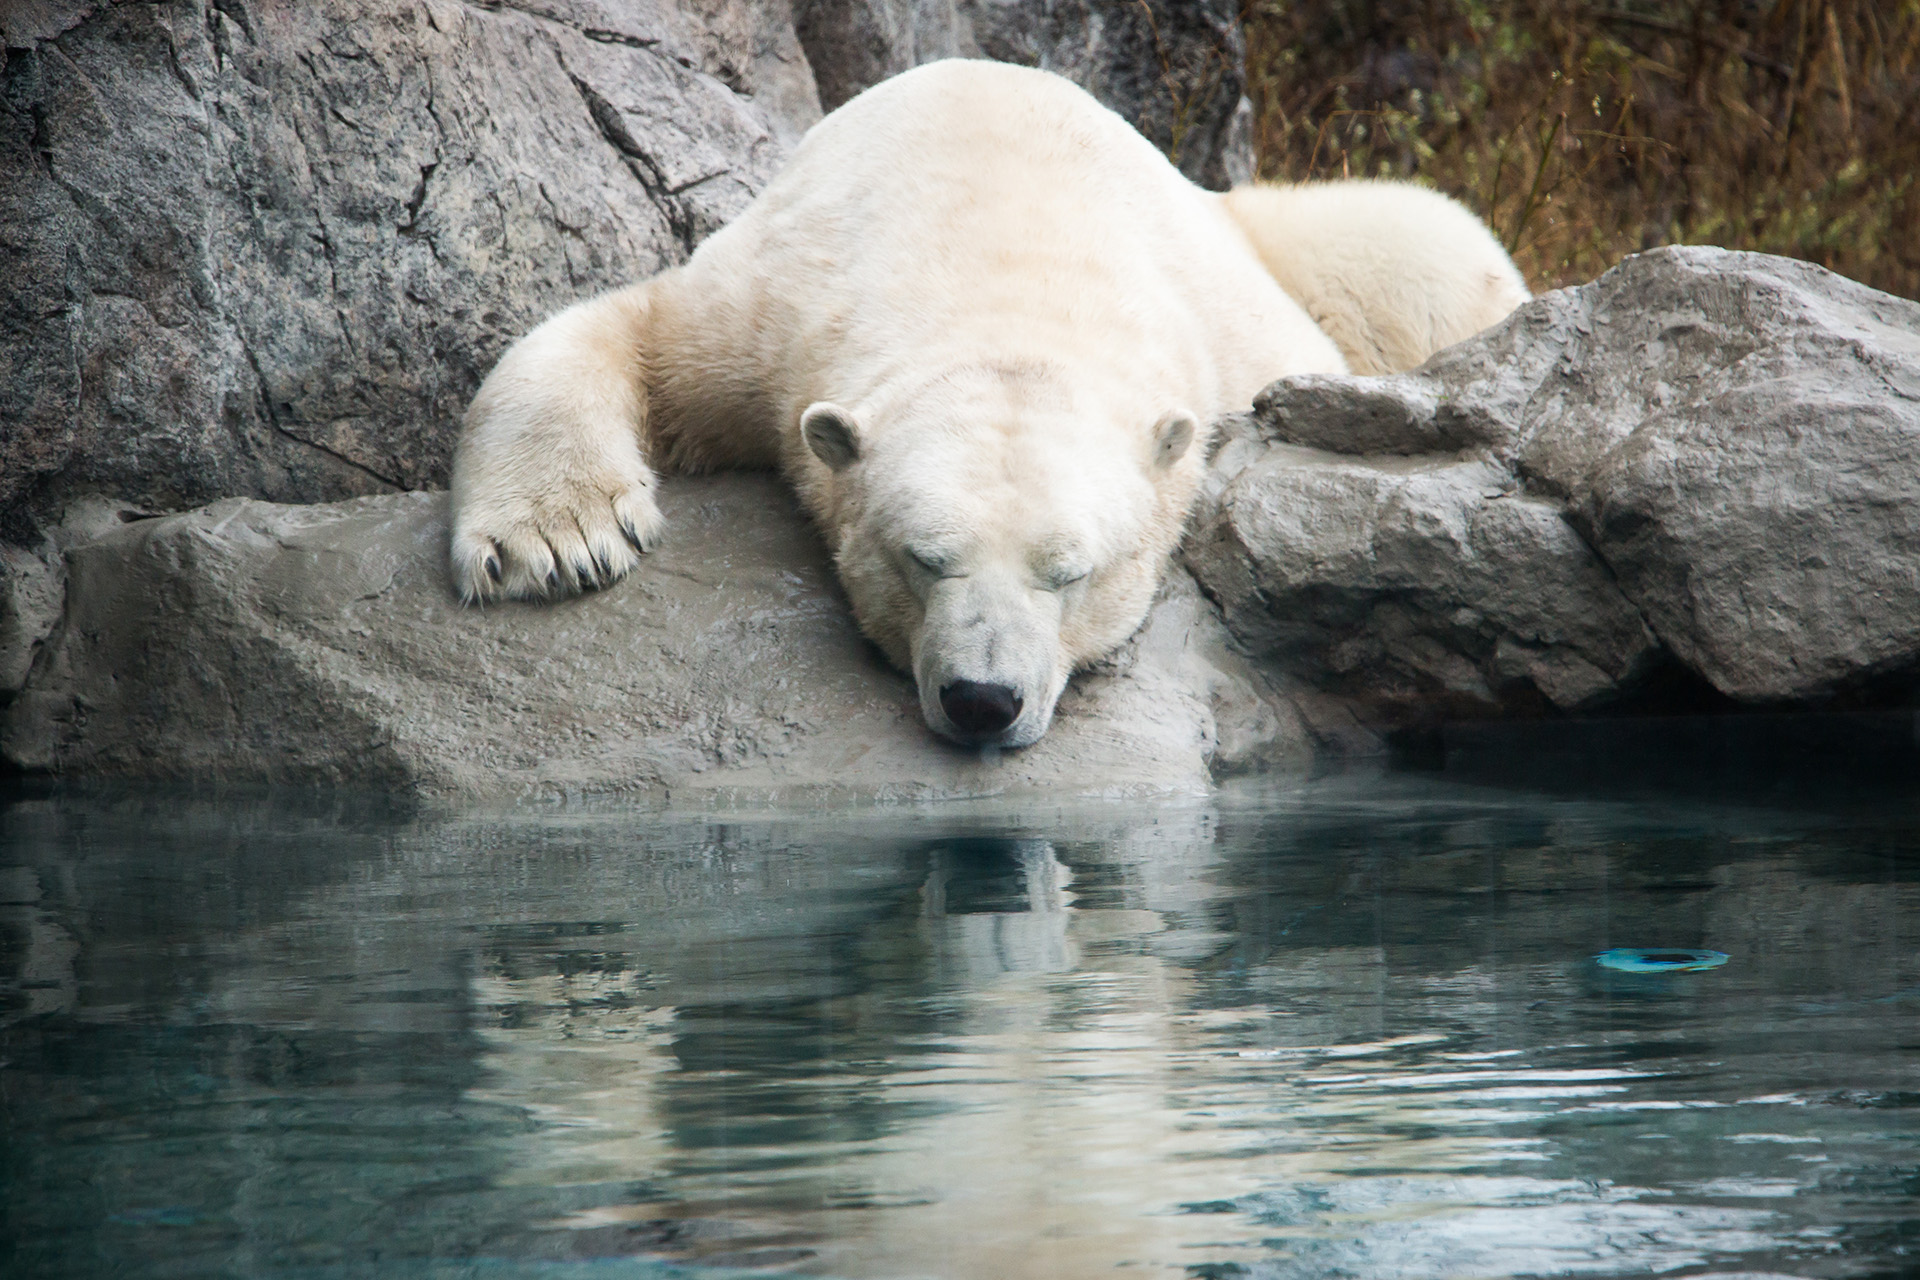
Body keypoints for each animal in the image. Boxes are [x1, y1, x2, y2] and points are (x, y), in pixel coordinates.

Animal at [453, 59, 1528, 752]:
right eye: (923, 559)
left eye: (1071, 572)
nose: (982, 700)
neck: (1002, 269)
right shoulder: (777, 315)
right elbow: (626, 331)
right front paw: (558, 540)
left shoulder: (1233, 341)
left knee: (1426, 243)